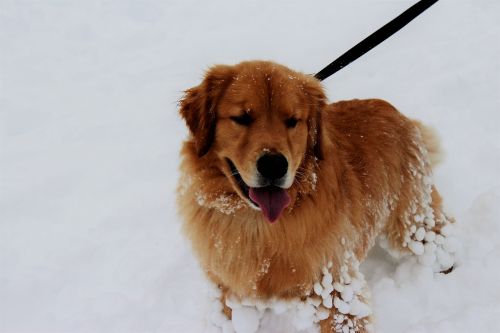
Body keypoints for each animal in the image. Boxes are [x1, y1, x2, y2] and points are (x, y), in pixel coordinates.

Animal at [177, 61, 458, 330]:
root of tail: (392, 109)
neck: (258, 226)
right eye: (242, 118)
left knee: (441, 237)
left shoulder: (335, 290)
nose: (274, 165)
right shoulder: (227, 293)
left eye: (292, 120)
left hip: (412, 222)